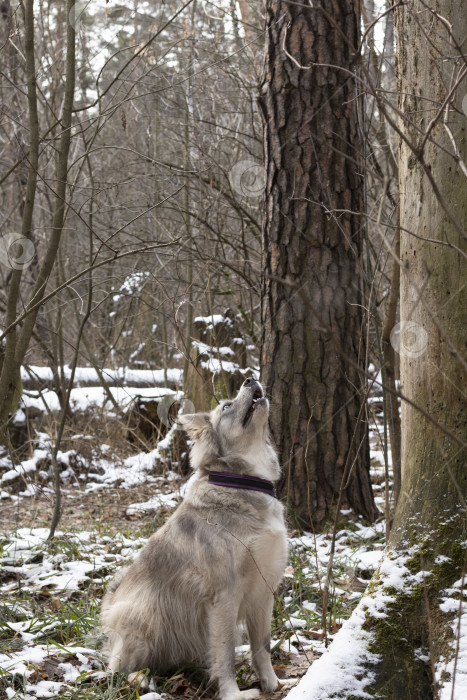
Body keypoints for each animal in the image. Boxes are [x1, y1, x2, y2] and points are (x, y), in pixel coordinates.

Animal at [102, 380, 294, 696]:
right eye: (226, 406)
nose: (250, 379)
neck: (242, 484)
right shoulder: (224, 596)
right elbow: (225, 653)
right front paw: (233, 694)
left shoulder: (263, 593)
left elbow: (262, 646)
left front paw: (272, 684)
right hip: (144, 614)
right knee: (116, 670)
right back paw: (140, 680)